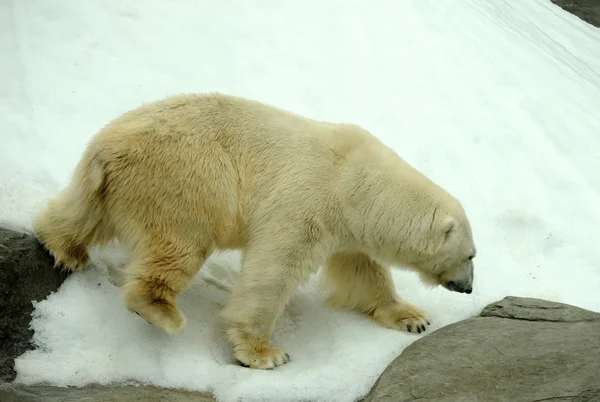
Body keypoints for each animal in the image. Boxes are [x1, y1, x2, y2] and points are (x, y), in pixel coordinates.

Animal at [35, 92, 478, 370]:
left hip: (112, 183)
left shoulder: (348, 224)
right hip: (186, 178)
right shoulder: (308, 203)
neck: (357, 182)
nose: (469, 287)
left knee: (82, 213)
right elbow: (274, 271)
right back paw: (162, 311)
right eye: (472, 255)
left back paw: (64, 248)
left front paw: (413, 318)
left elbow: (362, 270)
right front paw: (265, 353)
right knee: (180, 242)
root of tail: (106, 148)